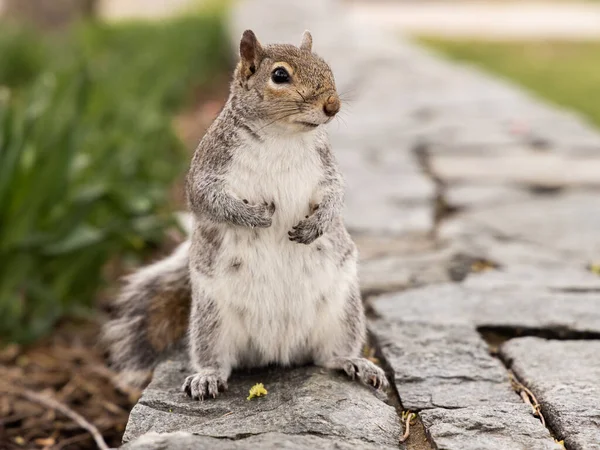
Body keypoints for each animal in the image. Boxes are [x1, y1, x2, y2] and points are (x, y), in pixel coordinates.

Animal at [102, 29, 390, 400]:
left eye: (326, 66)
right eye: (279, 75)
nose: (333, 106)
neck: (283, 136)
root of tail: (278, 352)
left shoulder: (327, 168)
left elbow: (336, 196)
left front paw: (317, 224)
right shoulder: (207, 169)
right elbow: (208, 200)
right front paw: (254, 217)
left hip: (342, 312)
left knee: (330, 355)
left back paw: (355, 363)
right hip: (212, 321)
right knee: (218, 359)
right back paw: (207, 377)